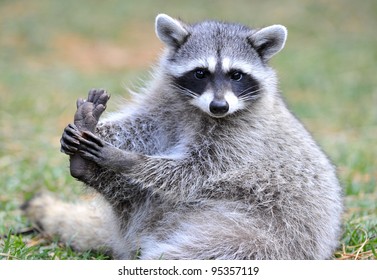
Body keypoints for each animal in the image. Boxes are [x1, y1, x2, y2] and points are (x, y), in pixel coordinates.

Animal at [22, 14, 340, 260]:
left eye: (236, 75)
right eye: (200, 73)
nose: (219, 106)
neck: (199, 110)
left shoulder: (244, 135)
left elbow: (195, 171)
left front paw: (129, 160)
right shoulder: (166, 103)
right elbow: (143, 126)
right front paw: (97, 130)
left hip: (261, 239)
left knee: (186, 253)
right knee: (135, 199)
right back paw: (88, 165)